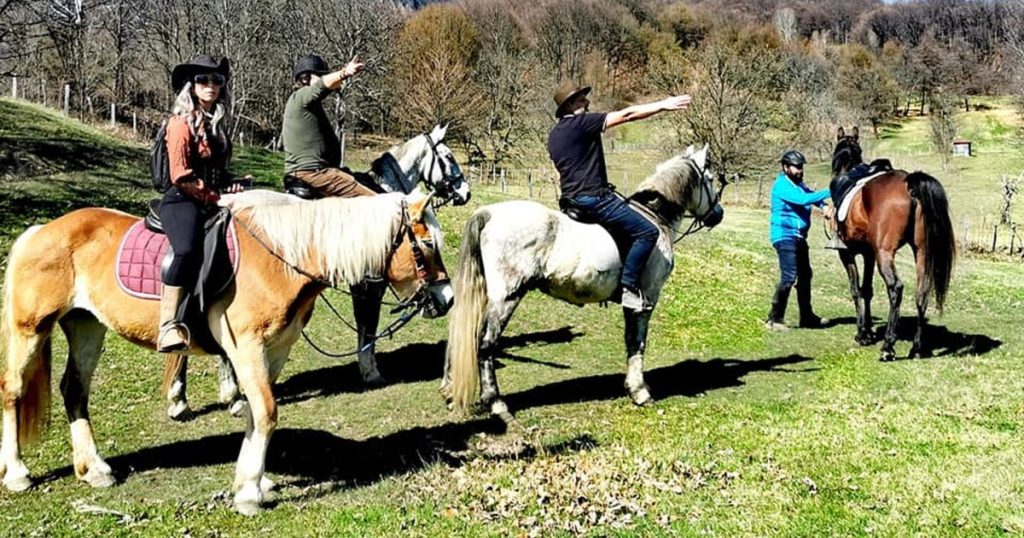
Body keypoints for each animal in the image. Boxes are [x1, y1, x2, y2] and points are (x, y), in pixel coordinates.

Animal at [0, 190, 450, 514]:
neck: (281, 258)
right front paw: (249, 493)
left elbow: (254, 411)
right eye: (427, 244)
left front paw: (255, 480)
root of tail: (37, 231)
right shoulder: (246, 346)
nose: (445, 299)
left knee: (75, 390)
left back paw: (93, 469)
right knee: (13, 390)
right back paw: (18, 473)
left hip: (86, 325)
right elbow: (266, 411)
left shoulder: (274, 349)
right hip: (31, 328)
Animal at [162, 125, 469, 420]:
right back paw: (188, 397)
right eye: (449, 157)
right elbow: (367, 327)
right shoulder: (369, 286)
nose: (465, 192)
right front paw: (370, 371)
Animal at [445, 145, 724, 419]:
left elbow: (630, 341)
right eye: (709, 178)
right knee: (485, 344)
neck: (655, 216)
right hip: (506, 298)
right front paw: (640, 392)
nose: (718, 215)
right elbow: (637, 343)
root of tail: (489, 213)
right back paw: (496, 403)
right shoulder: (646, 300)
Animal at [830, 126, 956, 361]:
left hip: (885, 254)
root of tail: (909, 185)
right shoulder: (869, 254)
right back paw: (917, 347)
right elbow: (866, 289)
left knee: (895, 287)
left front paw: (862, 333)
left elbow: (855, 289)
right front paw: (868, 331)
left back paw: (888, 346)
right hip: (921, 252)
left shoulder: (848, 253)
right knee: (921, 292)